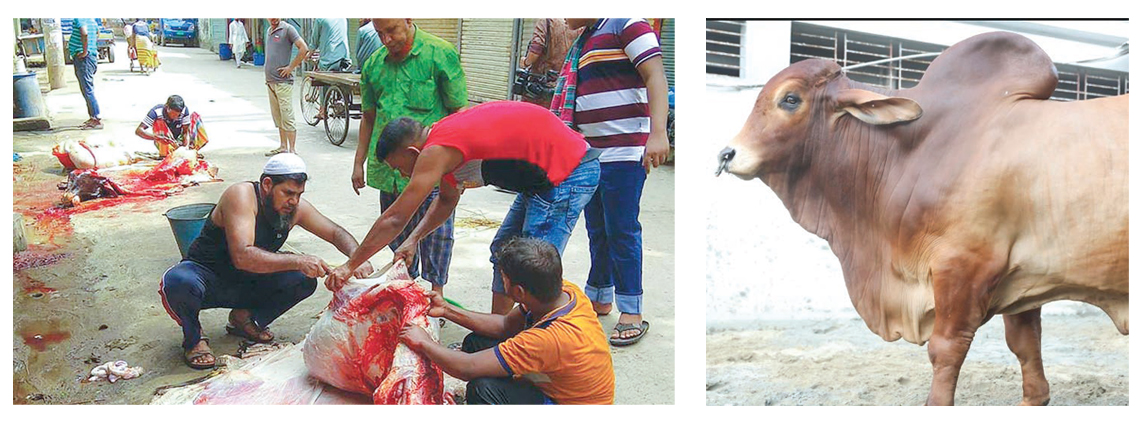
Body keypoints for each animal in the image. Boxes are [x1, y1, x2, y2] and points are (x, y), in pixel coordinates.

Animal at [713, 32, 1125, 404]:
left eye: (790, 99)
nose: (727, 155)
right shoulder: (1022, 281)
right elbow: (1026, 348)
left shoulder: (964, 269)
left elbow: (945, 349)